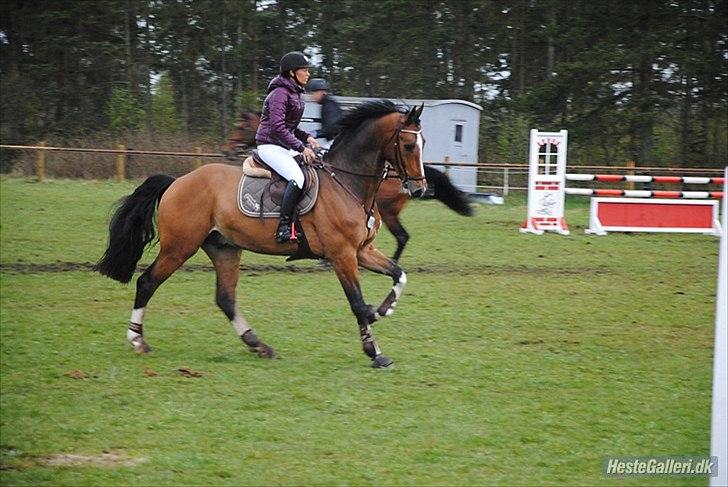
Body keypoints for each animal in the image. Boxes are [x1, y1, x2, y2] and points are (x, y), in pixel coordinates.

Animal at [96, 103, 426, 370]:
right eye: (409, 145)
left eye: (422, 142)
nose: (420, 189)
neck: (347, 182)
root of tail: (177, 182)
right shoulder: (342, 255)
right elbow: (356, 302)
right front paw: (375, 351)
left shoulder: (361, 251)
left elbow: (399, 274)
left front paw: (383, 309)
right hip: (179, 248)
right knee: (147, 282)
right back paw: (137, 340)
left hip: (224, 249)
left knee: (226, 299)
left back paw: (259, 345)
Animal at [222, 109, 472, 264]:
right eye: (410, 145)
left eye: (241, 126)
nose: (419, 188)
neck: (347, 175)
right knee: (403, 237)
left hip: (389, 212)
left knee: (402, 236)